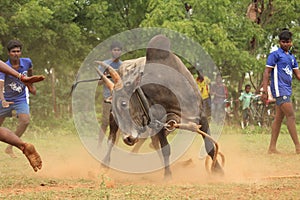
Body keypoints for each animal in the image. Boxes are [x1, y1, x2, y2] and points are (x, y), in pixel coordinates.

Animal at [95, 34, 224, 178]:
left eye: (124, 103)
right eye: (115, 108)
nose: (128, 138)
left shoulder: (201, 117)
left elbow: (209, 146)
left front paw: (218, 170)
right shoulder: (158, 122)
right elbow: (165, 148)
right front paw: (168, 175)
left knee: (150, 143)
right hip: (115, 122)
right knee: (111, 140)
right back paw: (104, 164)